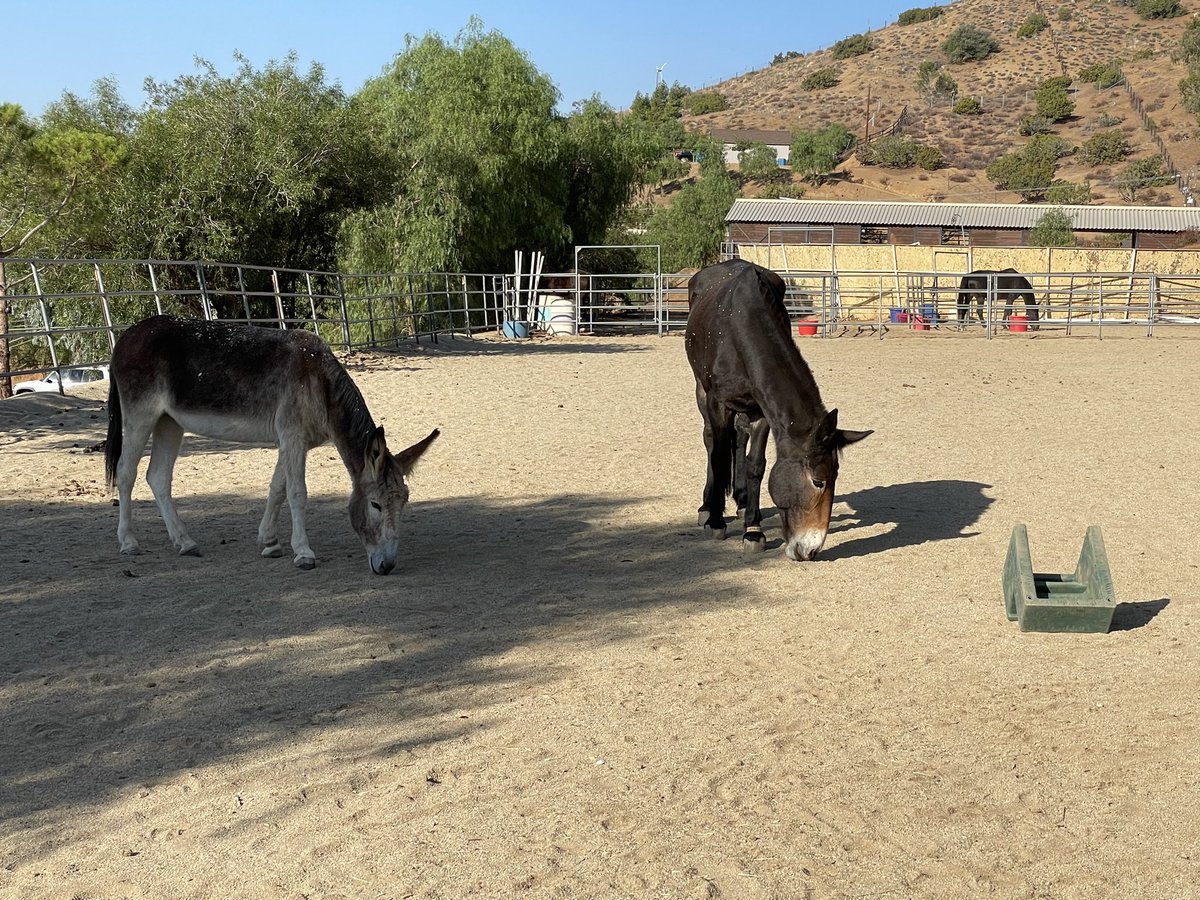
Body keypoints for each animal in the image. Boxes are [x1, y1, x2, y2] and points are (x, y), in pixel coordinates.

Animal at [686, 256, 873, 561]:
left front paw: (753, 529)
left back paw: (741, 499)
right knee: (711, 440)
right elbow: (718, 455)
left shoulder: (761, 409)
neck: (741, 327)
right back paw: (707, 507)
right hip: (701, 389)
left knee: (739, 436)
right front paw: (715, 521)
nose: (811, 550)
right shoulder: (717, 402)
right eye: (818, 481)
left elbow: (756, 465)